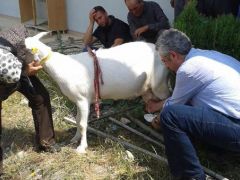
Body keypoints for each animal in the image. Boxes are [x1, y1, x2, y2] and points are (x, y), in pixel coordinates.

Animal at [24, 32, 171, 153]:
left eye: (22, 49)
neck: (64, 67)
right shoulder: (78, 100)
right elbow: (77, 120)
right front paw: (75, 138)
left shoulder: (83, 99)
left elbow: (83, 124)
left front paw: (82, 147)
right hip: (147, 90)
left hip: (160, 85)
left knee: (167, 100)